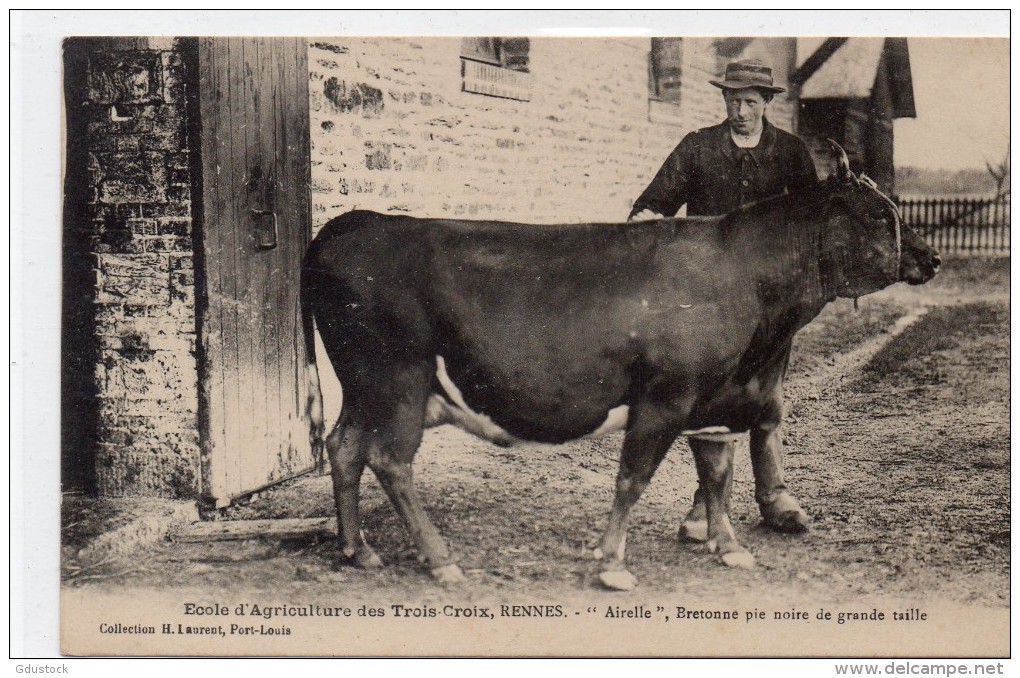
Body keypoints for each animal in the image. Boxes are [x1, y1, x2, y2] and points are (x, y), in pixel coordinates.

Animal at [299, 141, 938, 587]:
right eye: (875, 215)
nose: (930, 259)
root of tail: (355, 221)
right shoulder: (665, 395)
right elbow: (633, 477)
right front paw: (611, 564)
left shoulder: (718, 401)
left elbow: (718, 476)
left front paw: (730, 548)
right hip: (397, 381)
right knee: (390, 460)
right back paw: (439, 560)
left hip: (364, 387)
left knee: (344, 448)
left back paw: (359, 550)